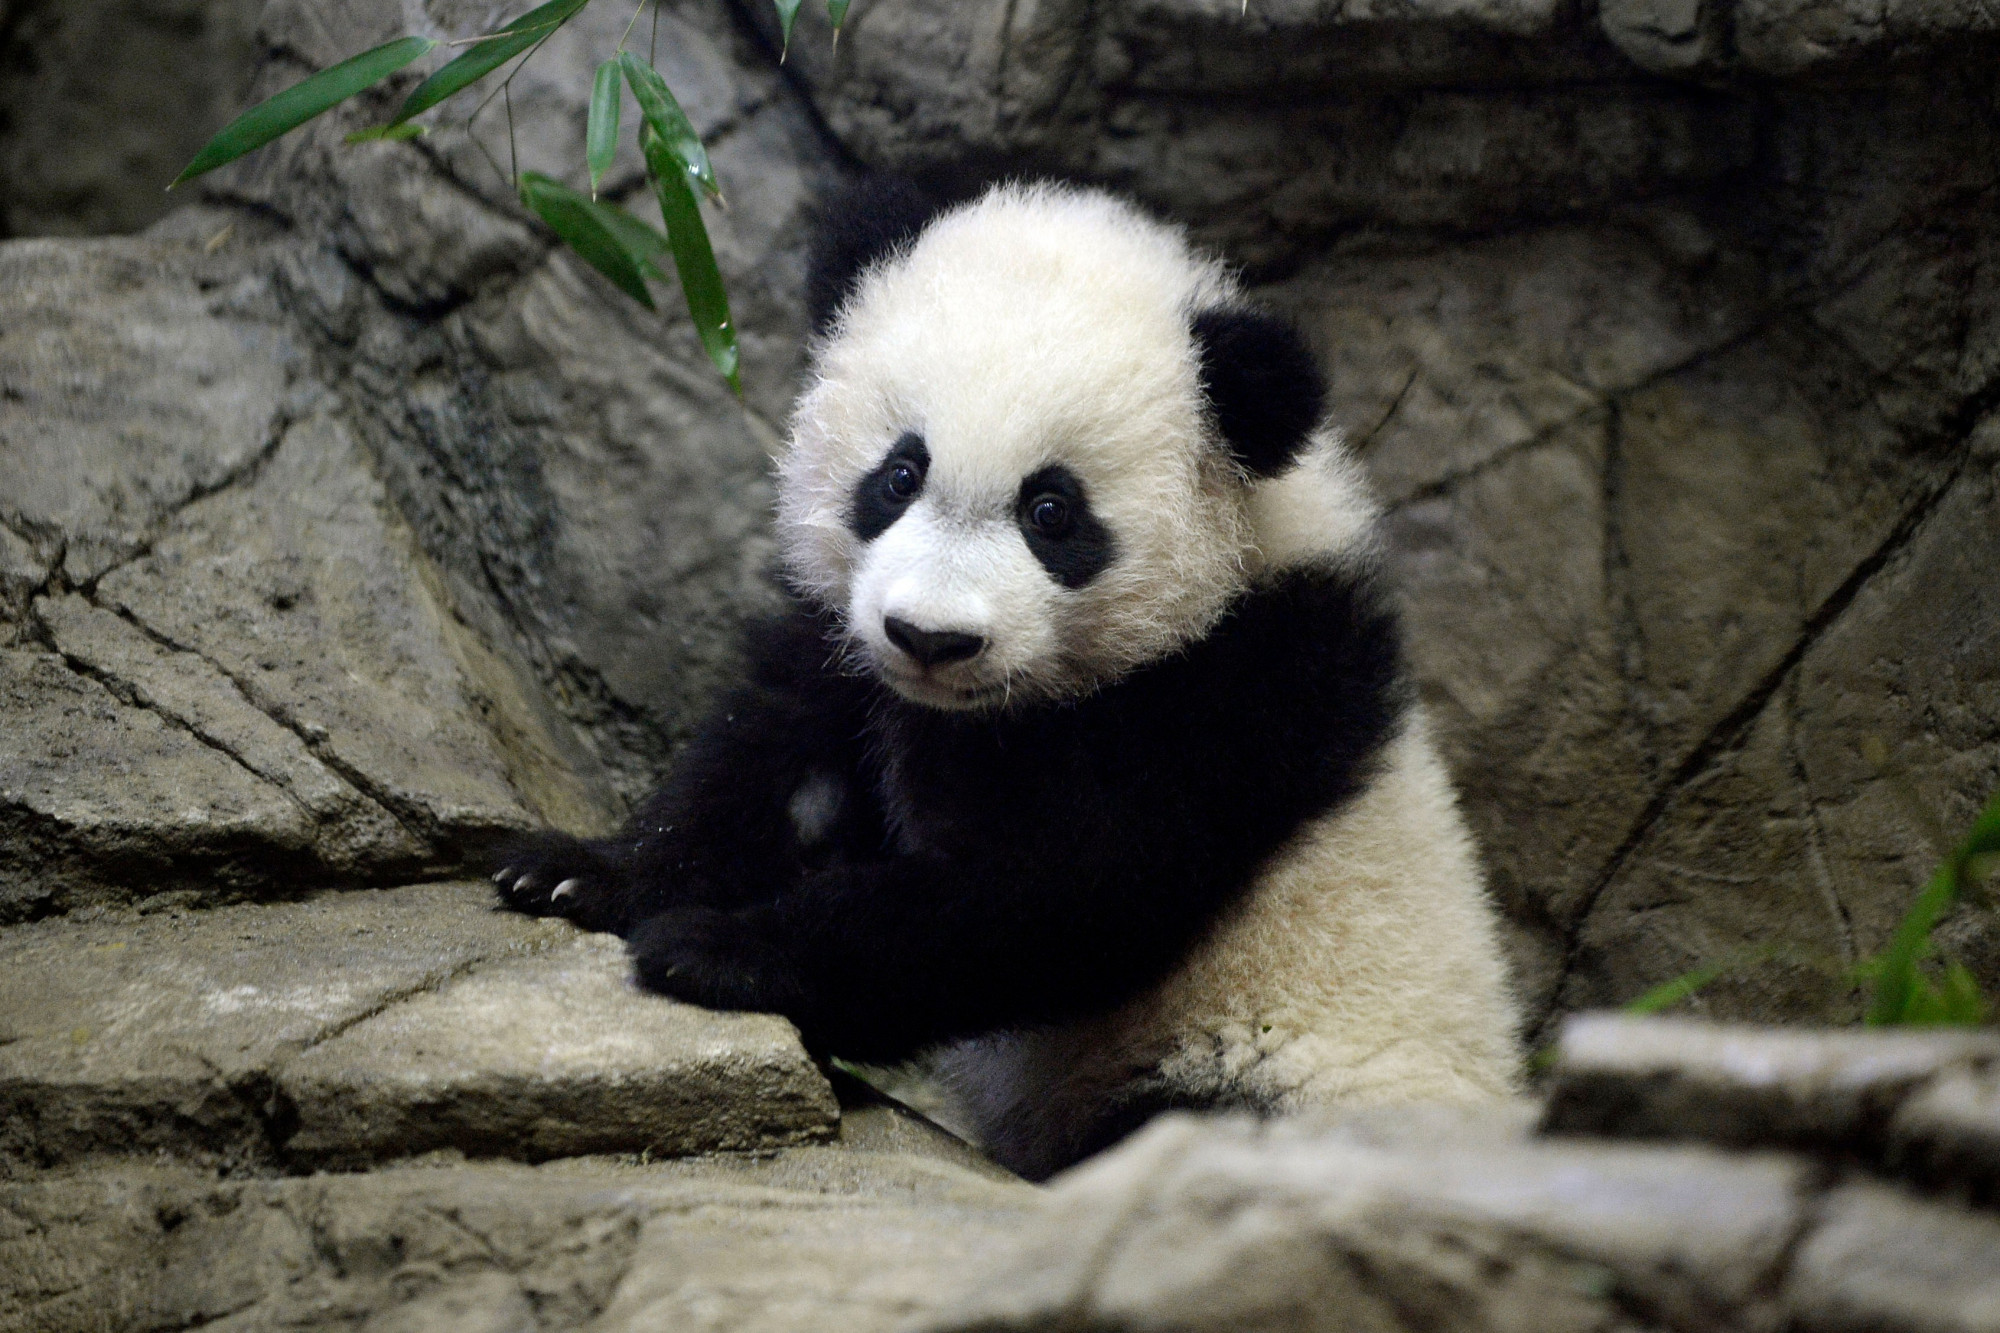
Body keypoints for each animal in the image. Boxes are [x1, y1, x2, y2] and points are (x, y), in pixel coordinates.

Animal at [496, 178, 1521, 1179]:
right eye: (900, 473)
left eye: (1051, 510)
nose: (930, 637)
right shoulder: (855, 655)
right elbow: (773, 762)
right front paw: (579, 874)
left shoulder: (1242, 687)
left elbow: (1049, 894)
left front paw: (716, 948)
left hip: (1299, 1073)